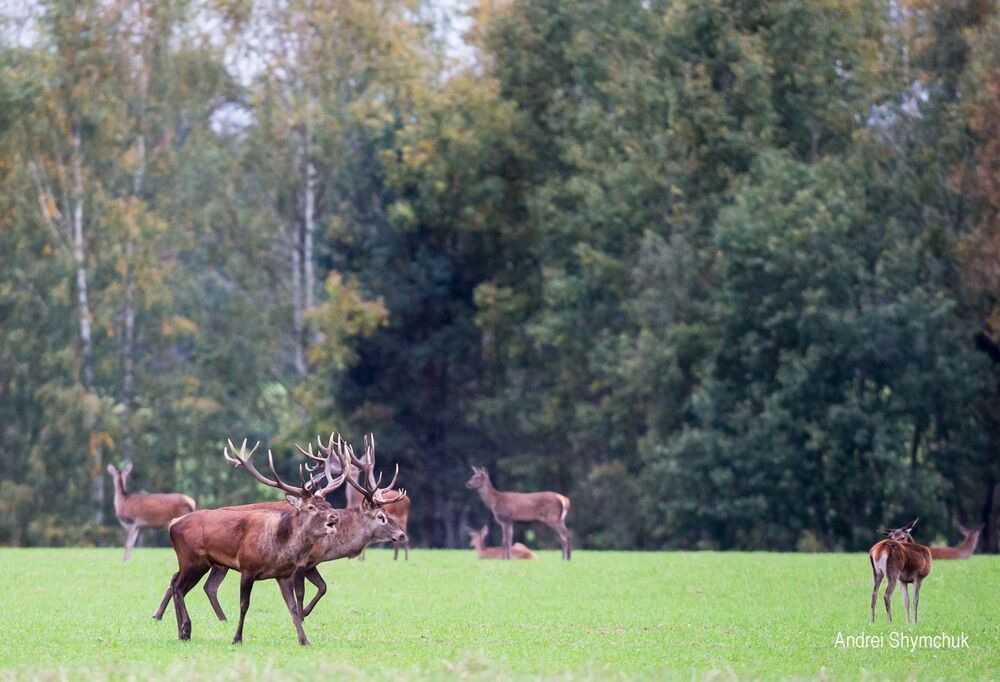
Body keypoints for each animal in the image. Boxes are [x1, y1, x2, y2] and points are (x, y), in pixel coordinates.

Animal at [157, 438, 343, 645]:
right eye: (311, 507)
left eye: (327, 504)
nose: (335, 516)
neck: (278, 548)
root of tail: (173, 523)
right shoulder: (247, 568)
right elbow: (244, 605)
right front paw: (237, 638)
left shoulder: (284, 575)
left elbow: (293, 607)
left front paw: (304, 640)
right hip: (191, 559)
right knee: (178, 586)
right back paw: (186, 628)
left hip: (199, 563)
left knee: (178, 585)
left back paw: (181, 632)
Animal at [181, 432, 408, 621]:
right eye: (381, 516)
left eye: (388, 513)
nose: (402, 535)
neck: (328, 547)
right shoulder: (301, 563)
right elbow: (302, 592)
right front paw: (301, 615)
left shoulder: (312, 564)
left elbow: (323, 587)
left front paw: (304, 613)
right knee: (205, 585)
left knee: (206, 586)